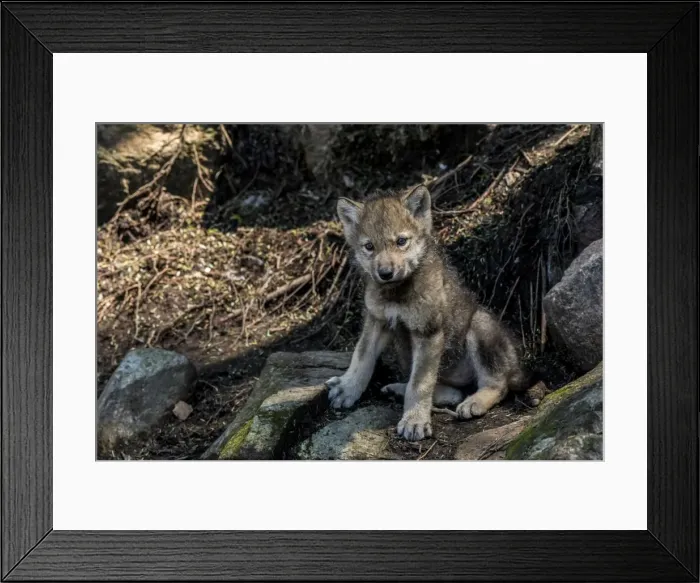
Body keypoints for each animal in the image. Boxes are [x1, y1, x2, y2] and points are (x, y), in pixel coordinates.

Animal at [325, 185, 525, 441]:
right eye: (369, 246)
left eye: (401, 241)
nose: (385, 273)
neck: (397, 294)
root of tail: (518, 367)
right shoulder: (377, 320)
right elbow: (361, 357)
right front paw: (347, 388)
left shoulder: (427, 332)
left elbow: (420, 383)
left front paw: (414, 421)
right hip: (405, 351)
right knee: (453, 392)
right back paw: (400, 390)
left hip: (480, 325)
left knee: (497, 384)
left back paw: (474, 402)